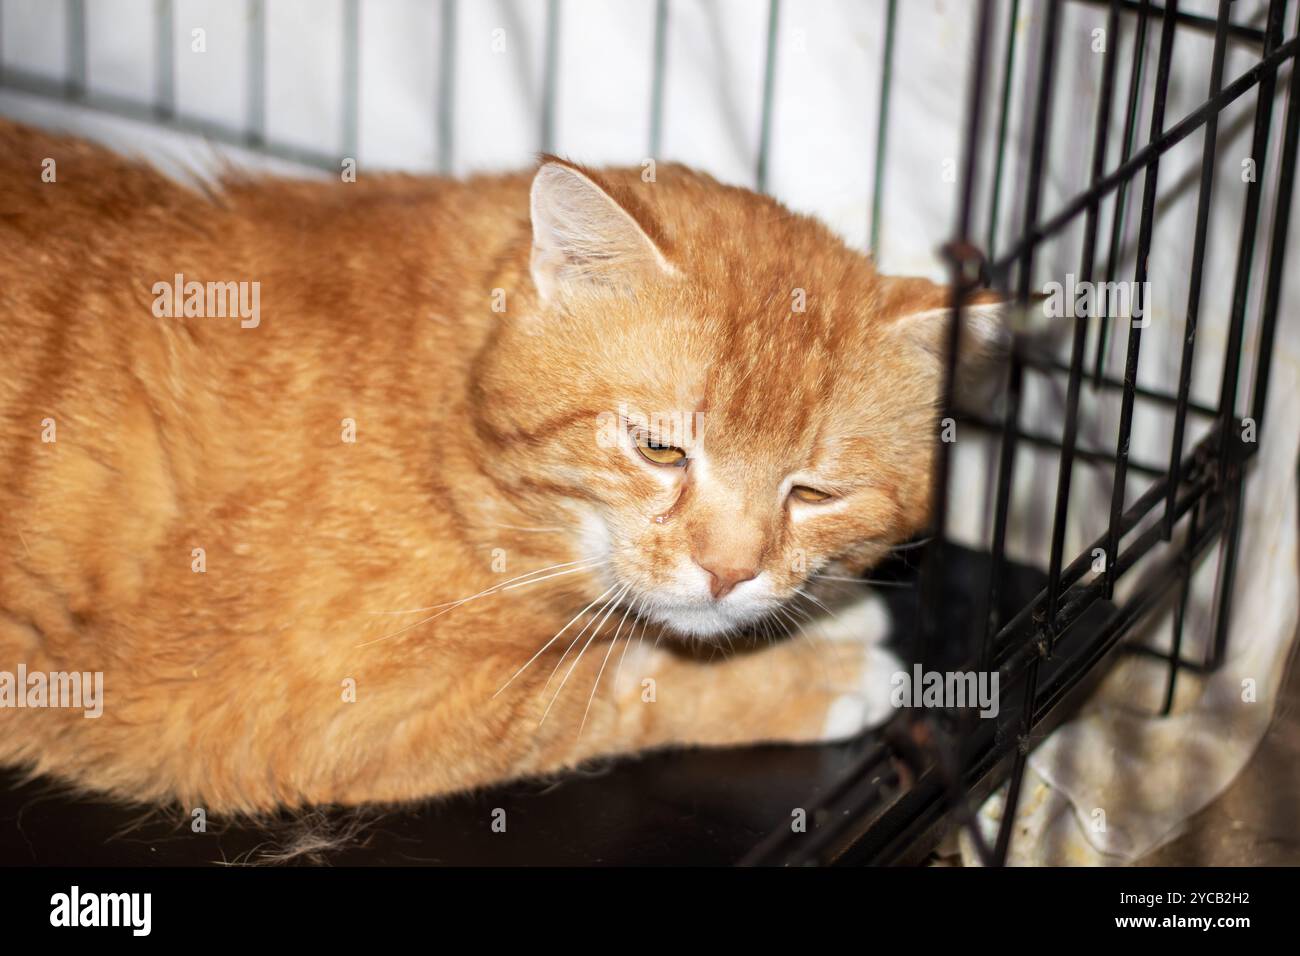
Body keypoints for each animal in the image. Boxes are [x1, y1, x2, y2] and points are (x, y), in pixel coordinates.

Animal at [0, 115, 1003, 811]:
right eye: (660, 447)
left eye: (815, 491)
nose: (729, 572)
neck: (441, 408)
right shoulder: (332, 713)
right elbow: (620, 684)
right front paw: (815, 675)